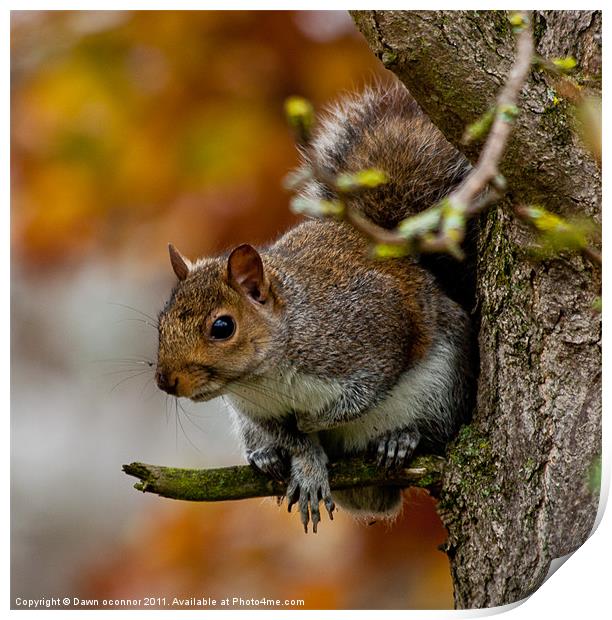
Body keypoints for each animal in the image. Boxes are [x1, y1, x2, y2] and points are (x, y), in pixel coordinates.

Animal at [153, 83, 474, 532]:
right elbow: (293, 440)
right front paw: (305, 464)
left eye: (222, 327)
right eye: (160, 323)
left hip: (442, 385)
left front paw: (313, 420)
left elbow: (364, 391)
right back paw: (265, 455)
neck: (265, 377)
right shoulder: (255, 411)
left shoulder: (372, 330)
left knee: (435, 432)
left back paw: (402, 438)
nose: (166, 381)